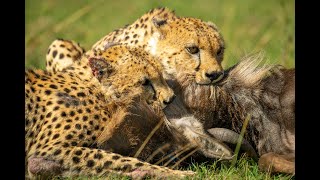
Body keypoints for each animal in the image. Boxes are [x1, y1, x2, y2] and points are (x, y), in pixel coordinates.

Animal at [25, 44, 199, 179]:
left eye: (161, 75)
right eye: (145, 82)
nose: (170, 98)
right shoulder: (46, 150)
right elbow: (119, 159)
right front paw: (180, 174)